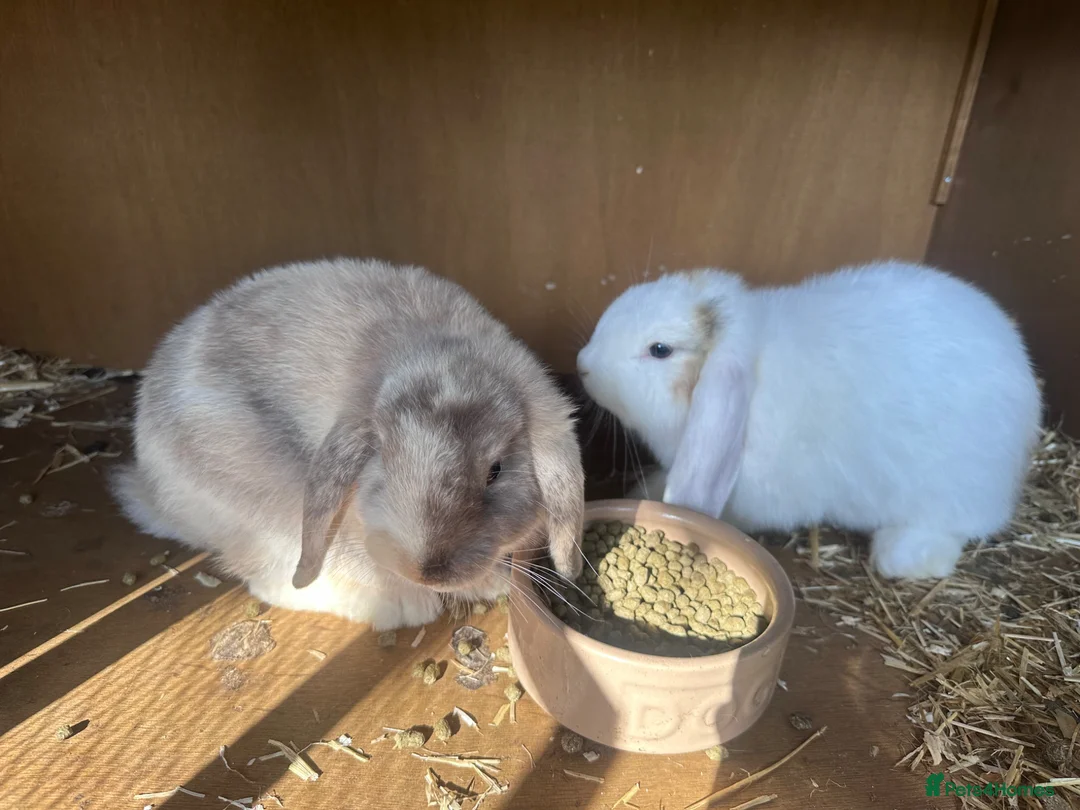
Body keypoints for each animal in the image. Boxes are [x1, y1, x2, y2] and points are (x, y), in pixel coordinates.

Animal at [110, 257, 585, 630]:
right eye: (384, 463)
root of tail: (151, 488)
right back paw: (402, 607)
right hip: (268, 507)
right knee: (277, 579)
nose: (427, 571)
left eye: (495, 471)